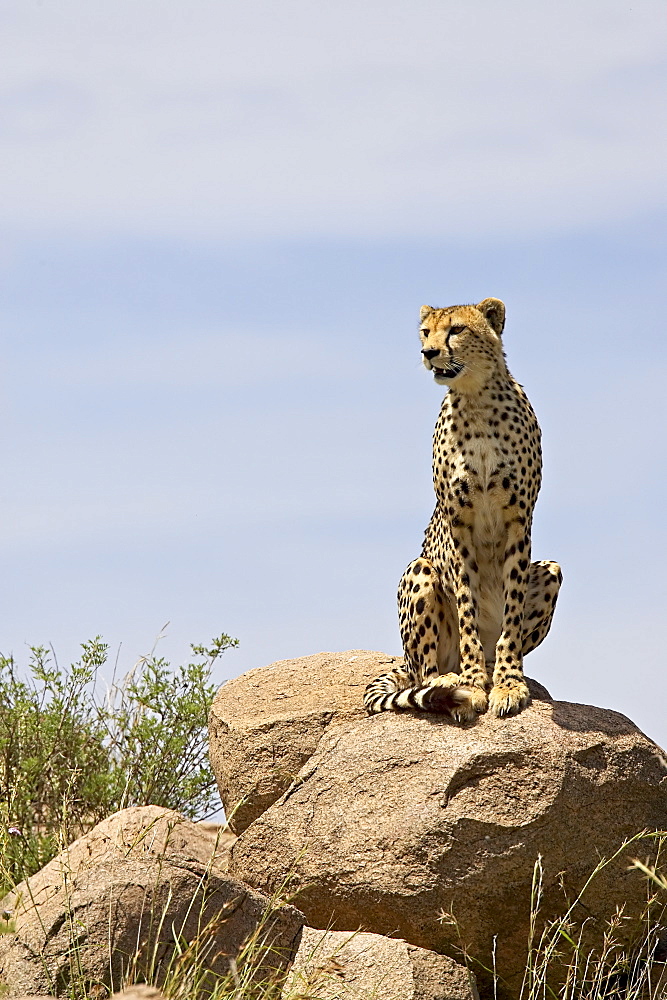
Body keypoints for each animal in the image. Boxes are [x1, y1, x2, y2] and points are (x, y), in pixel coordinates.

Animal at [368, 296, 560, 720]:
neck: (476, 400)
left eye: (456, 329)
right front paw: (472, 685)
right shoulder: (459, 523)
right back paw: (450, 679)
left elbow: (512, 613)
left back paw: (491, 669)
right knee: (424, 672)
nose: (429, 353)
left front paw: (507, 682)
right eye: (426, 332)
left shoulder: (519, 519)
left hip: (551, 571)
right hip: (420, 571)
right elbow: (467, 606)